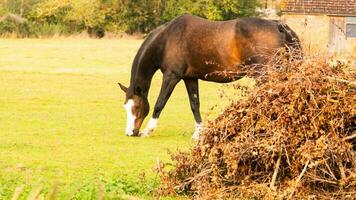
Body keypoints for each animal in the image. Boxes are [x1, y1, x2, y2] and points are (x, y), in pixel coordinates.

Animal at [118, 13, 302, 140]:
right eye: (125, 107)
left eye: (136, 107)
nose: (130, 133)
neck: (167, 39)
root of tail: (279, 26)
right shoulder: (190, 78)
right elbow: (194, 105)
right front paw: (198, 134)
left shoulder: (172, 76)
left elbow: (159, 103)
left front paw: (148, 130)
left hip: (266, 75)